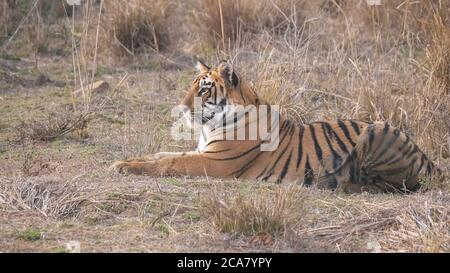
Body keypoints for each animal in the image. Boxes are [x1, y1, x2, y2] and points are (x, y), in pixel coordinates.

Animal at [110, 59, 442, 192]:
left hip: (378, 130)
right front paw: (121, 162)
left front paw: (125, 167)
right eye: (191, 85)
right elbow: (162, 155)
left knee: (393, 185)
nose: (180, 107)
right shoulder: (202, 152)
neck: (211, 125)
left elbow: (169, 164)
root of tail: (427, 157)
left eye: (203, 90)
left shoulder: (215, 162)